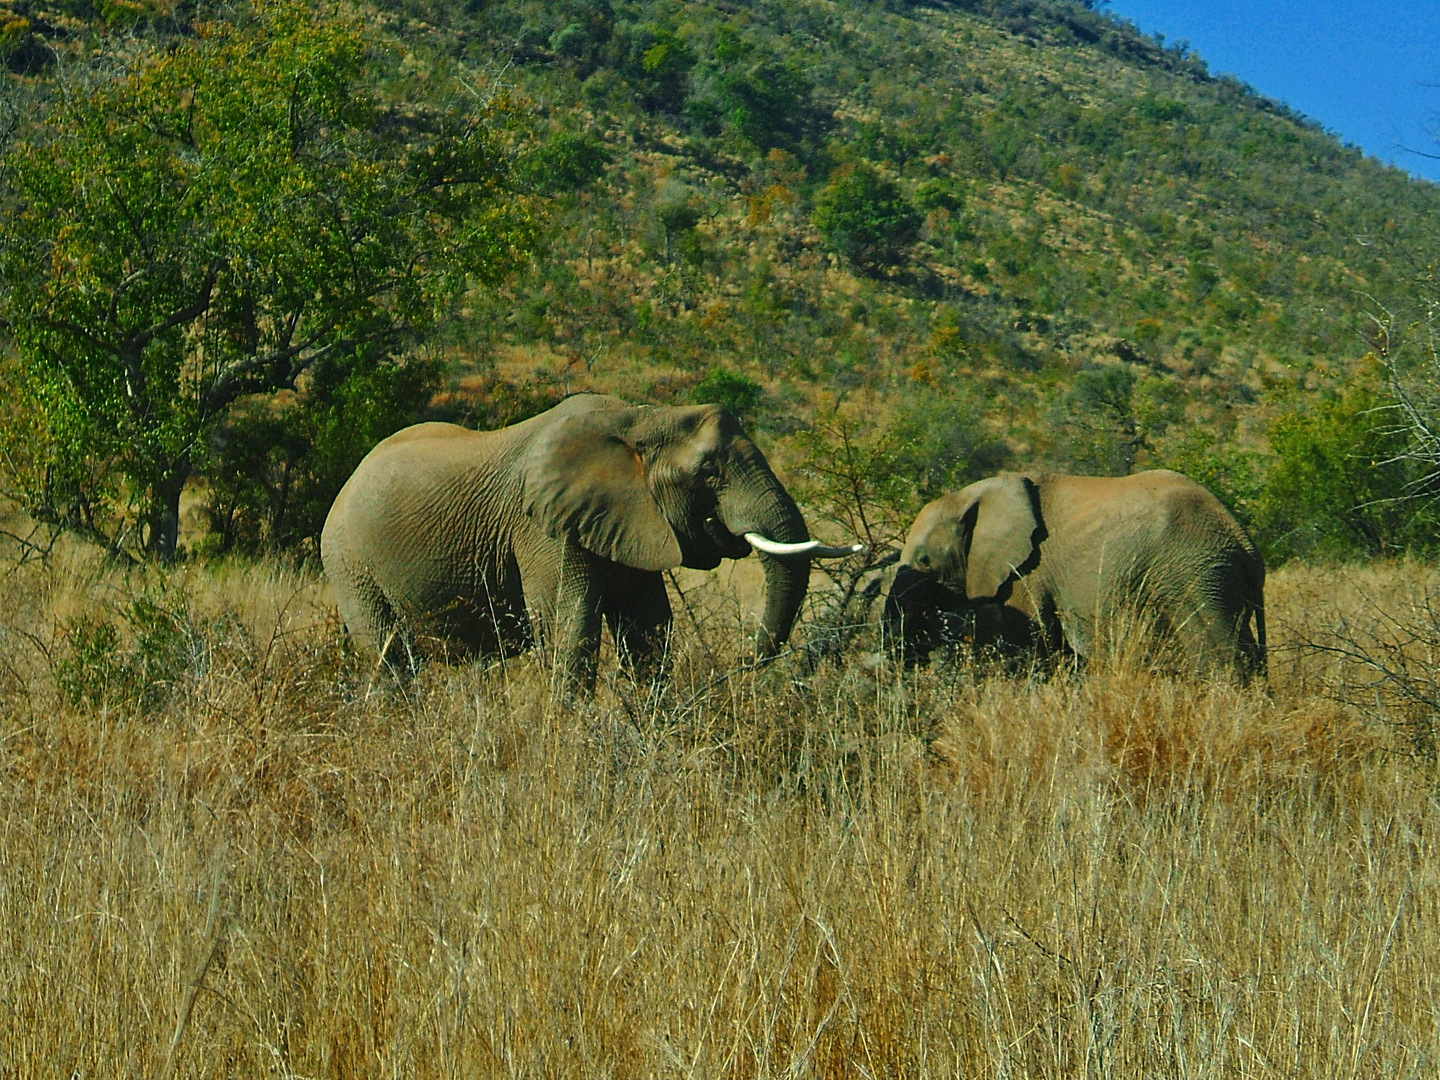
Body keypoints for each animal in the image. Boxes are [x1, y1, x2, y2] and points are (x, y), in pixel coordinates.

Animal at [321, 394, 852, 688]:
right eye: (709, 473)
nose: (742, 663)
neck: (642, 418)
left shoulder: (631, 521)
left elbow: (648, 630)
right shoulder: (542, 528)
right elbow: (570, 628)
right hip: (349, 565)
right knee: (390, 659)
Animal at [881, 472, 1267, 679]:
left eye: (925, 561)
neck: (970, 495)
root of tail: (1247, 546)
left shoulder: (1027, 574)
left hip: (1196, 577)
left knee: (1220, 658)